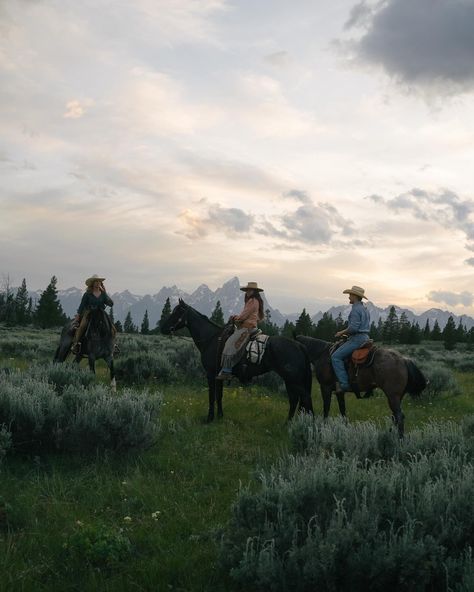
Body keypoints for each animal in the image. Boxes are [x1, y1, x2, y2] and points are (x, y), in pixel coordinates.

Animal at [161, 300, 312, 420]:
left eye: (177, 312)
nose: (163, 328)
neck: (211, 339)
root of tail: (299, 345)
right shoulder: (219, 375)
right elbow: (219, 395)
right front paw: (220, 416)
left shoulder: (210, 374)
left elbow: (211, 396)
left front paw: (209, 418)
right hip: (290, 380)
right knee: (294, 400)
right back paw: (288, 423)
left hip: (293, 380)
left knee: (304, 398)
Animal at [296, 336, 426, 438]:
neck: (321, 354)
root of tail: (404, 360)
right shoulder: (339, 392)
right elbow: (343, 410)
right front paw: (344, 427)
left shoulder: (325, 387)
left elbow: (326, 409)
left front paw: (324, 426)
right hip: (398, 397)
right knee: (395, 416)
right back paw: (389, 434)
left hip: (392, 396)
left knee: (399, 417)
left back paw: (399, 439)